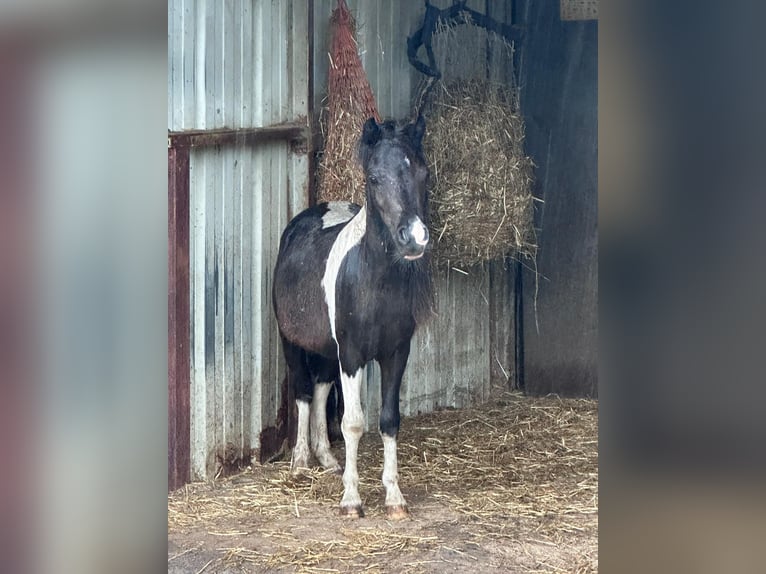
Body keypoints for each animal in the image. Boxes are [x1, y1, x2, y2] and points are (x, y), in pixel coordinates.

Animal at [274, 115, 436, 520]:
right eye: (374, 177)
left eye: (423, 172)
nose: (415, 238)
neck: (372, 280)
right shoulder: (352, 355)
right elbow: (353, 422)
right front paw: (351, 500)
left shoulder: (396, 353)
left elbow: (389, 420)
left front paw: (394, 498)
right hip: (293, 342)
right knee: (304, 391)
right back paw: (301, 462)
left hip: (327, 350)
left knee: (319, 389)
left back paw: (327, 458)